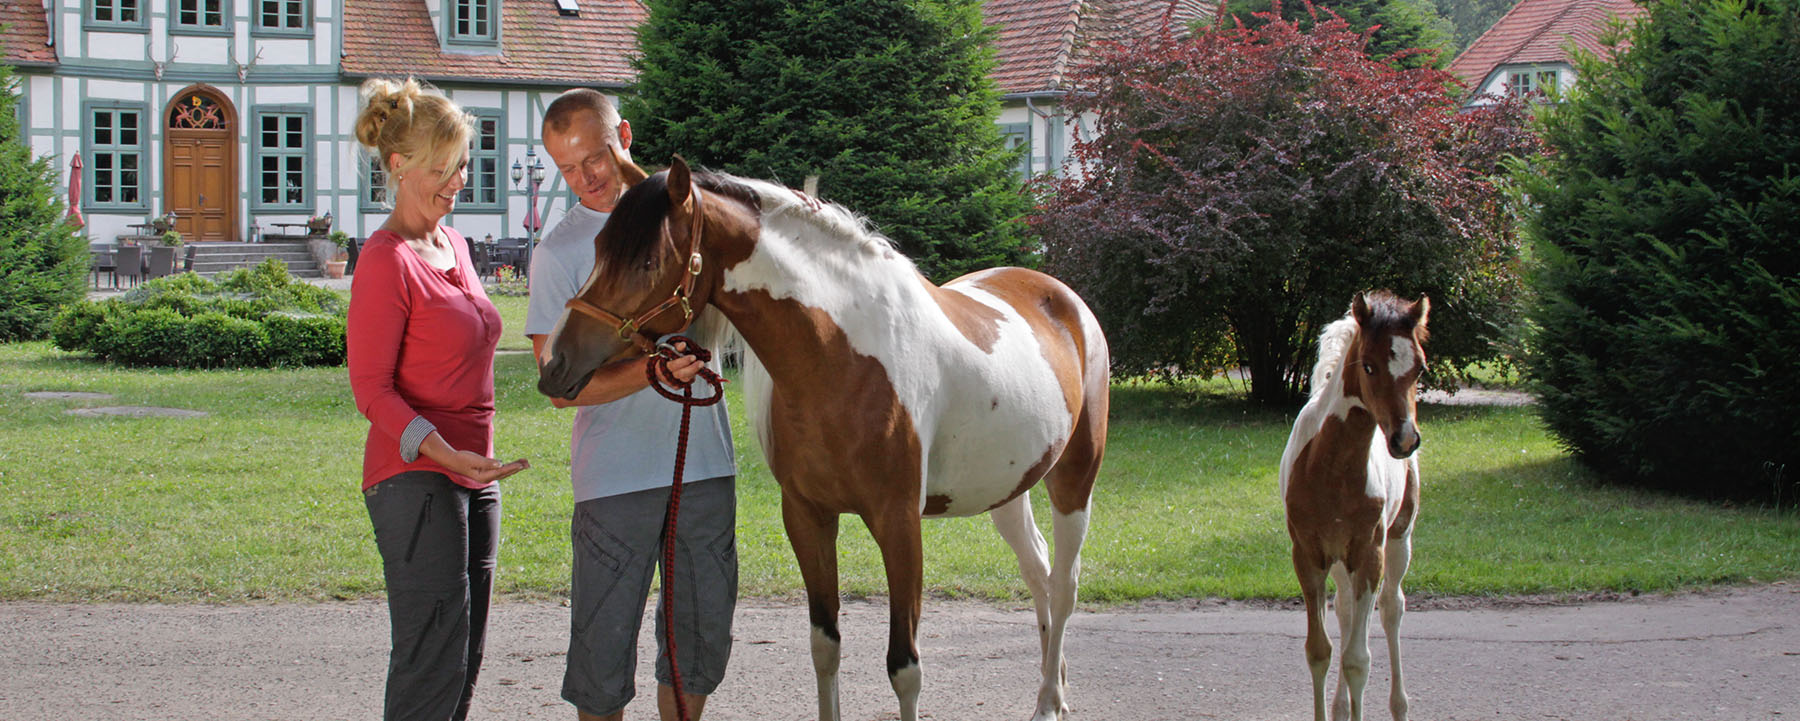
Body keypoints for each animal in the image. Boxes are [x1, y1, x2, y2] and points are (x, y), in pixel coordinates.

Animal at [532, 155, 1108, 719]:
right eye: (598, 251)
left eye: (647, 263)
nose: (555, 365)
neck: (842, 358)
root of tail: (1061, 298)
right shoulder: (807, 516)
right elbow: (824, 645)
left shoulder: (899, 523)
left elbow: (905, 667)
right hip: (1007, 489)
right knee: (1038, 571)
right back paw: (1054, 688)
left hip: (1074, 480)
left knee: (1064, 586)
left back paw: (1050, 704)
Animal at [1281, 291, 1432, 719]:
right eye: (1368, 365)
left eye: (1420, 368)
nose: (1404, 439)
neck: (1330, 468)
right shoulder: (1308, 554)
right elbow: (1320, 651)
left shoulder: (1368, 553)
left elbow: (1357, 660)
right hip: (1339, 559)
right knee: (1347, 609)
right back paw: (1340, 707)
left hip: (1398, 539)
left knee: (1392, 608)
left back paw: (1399, 705)